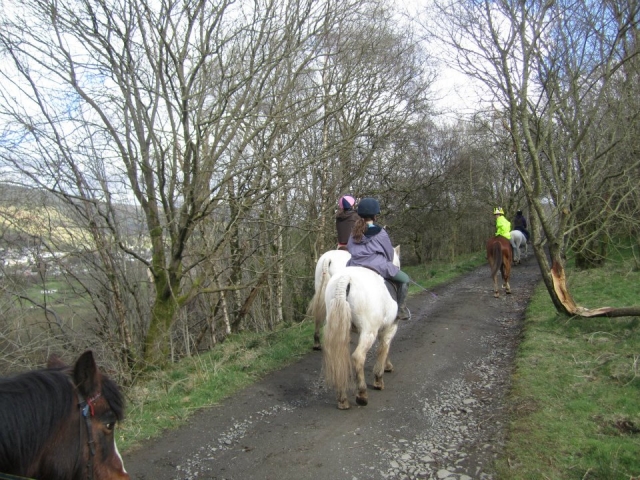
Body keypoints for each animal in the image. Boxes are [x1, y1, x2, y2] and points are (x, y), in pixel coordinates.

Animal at [322, 246, 401, 409]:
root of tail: (345, 279)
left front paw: (387, 366)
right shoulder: (390, 328)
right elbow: (384, 348)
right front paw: (379, 377)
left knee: (338, 358)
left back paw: (342, 399)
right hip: (368, 331)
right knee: (358, 357)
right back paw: (362, 394)